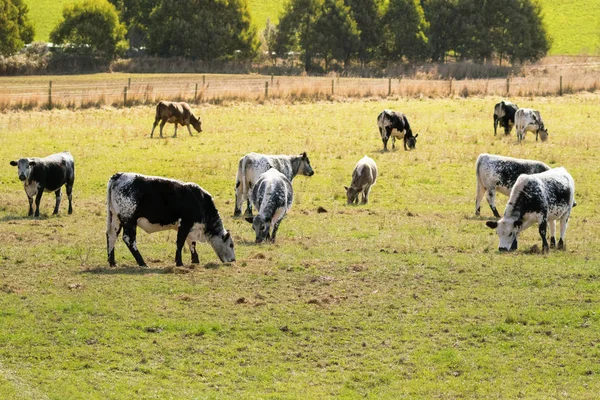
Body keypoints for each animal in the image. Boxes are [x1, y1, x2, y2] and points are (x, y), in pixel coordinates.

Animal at [105, 173, 234, 268]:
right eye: (231, 245)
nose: (233, 259)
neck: (200, 200)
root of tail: (119, 175)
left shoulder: (191, 228)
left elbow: (191, 243)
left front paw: (195, 260)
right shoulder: (185, 224)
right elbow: (180, 242)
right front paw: (179, 262)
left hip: (115, 218)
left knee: (111, 236)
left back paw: (112, 262)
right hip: (129, 221)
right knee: (129, 240)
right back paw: (142, 263)